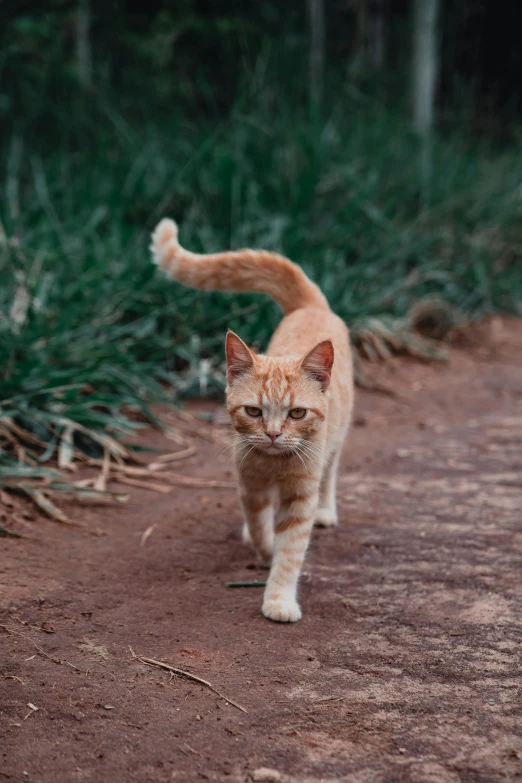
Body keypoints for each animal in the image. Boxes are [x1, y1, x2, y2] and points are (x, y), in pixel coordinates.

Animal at [150, 220, 354, 624]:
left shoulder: (300, 496)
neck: (275, 465)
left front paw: (279, 597)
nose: (273, 434)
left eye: (296, 413)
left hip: (336, 441)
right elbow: (261, 528)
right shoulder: (250, 483)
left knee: (331, 471)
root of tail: (309, 306)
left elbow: (290, 552)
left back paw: (326, 511)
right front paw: (264, 549)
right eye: (254, 412)